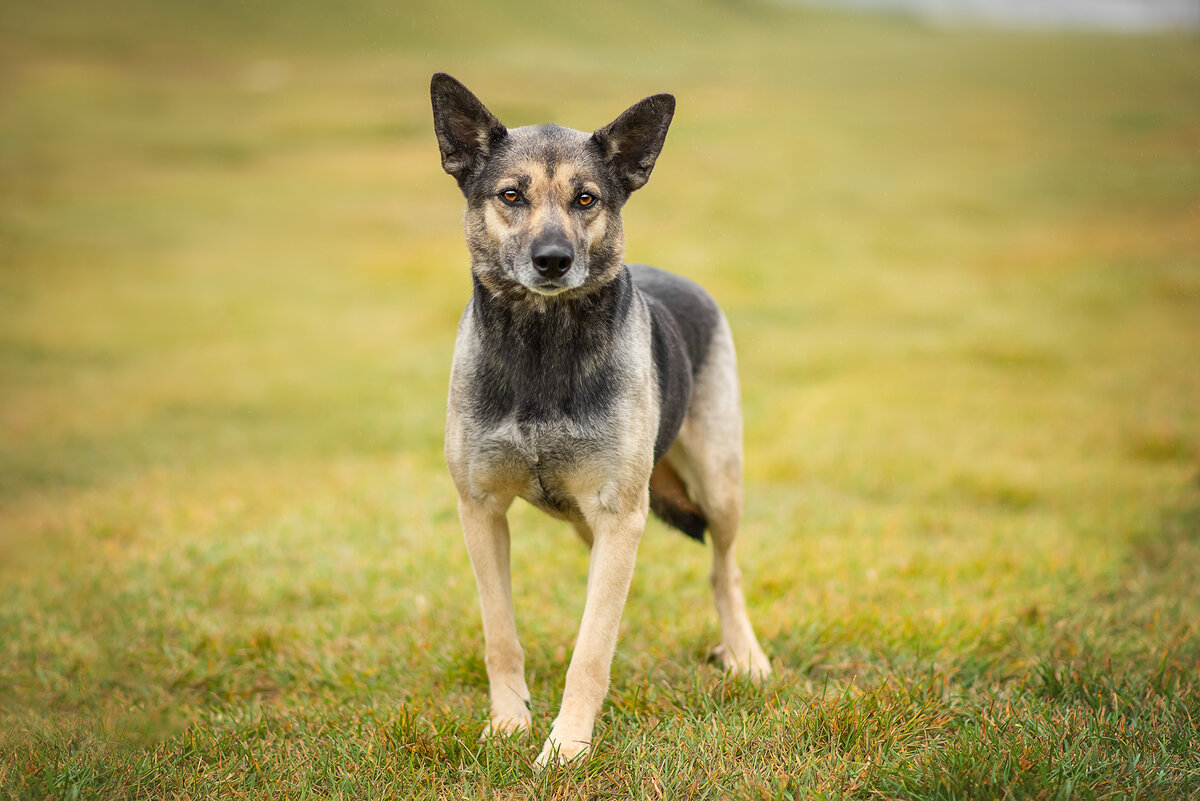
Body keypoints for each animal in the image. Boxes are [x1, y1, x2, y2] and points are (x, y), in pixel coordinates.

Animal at [432, 73, 768, 762]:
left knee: (725, 568)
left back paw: (744, 654)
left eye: (586, 198)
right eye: (511, 195)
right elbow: (500, 634)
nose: (553, 260)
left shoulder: (620, 515)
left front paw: (565, 748)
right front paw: (509, 724)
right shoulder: (480, 509)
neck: (541, 344)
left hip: (718, 486)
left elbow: (589, 653)